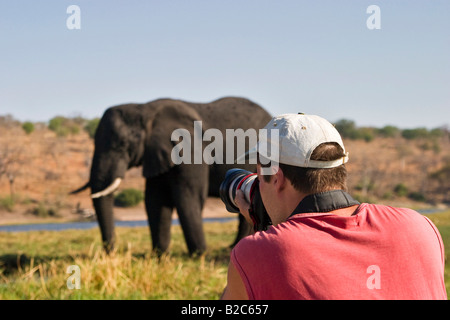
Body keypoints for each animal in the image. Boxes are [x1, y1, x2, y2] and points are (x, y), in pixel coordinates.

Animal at [71, 97, 270, 255]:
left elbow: (188, 197)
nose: (111, 252)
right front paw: (159, 256)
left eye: (122, 145)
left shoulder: (190, 150)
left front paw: (198, 254)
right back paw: (232, 247)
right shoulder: (156, 154)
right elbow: (154, 200)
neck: (144, 109)